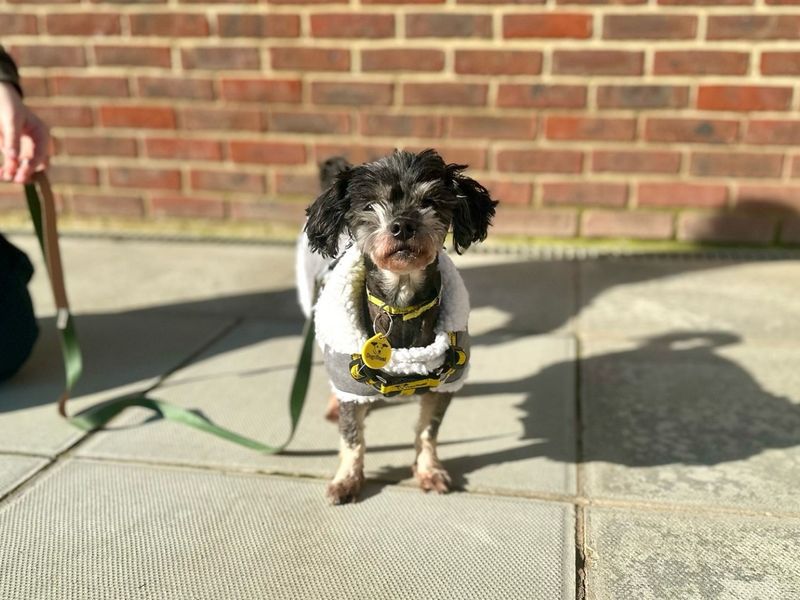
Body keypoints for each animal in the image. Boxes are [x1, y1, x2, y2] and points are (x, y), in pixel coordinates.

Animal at [300, 148, 496, 504]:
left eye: (430, 201)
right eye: (368, 205)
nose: (403, 225)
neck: (401, 307)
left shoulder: (444, 385)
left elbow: (428, 432)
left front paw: (429, 470)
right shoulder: (350, 384)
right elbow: (352, 437)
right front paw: (347, 479)